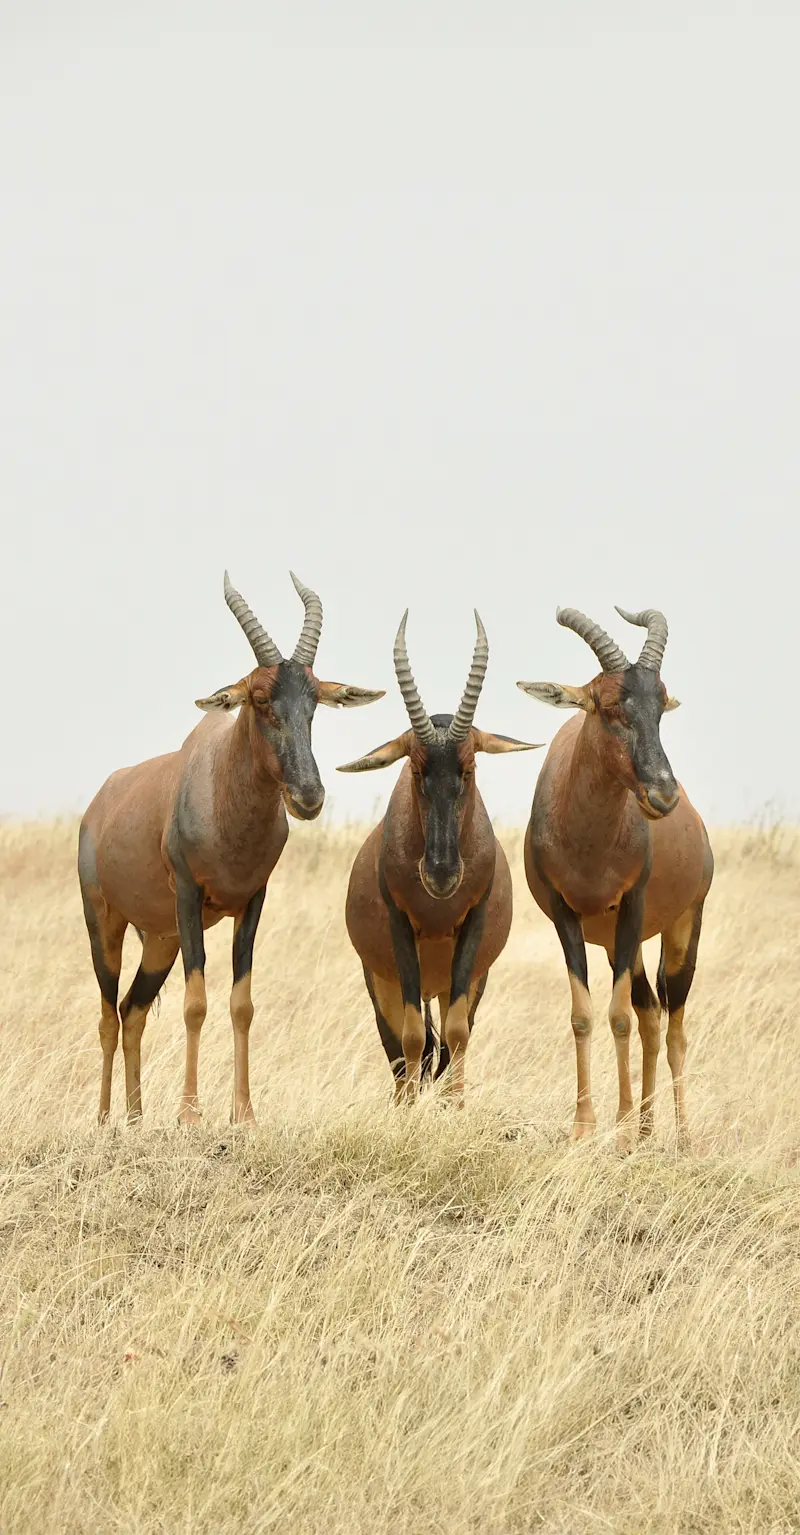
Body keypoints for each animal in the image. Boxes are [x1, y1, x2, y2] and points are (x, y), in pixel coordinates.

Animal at [79, 572, 383, 1127]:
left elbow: (242, 1004)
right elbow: (195, 1002)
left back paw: (136, 1119)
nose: (308, 797)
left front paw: (243, 1114)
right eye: (259, 699)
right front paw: (190, 1115)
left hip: (161, 941)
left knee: (133, 1011)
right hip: (105, 923)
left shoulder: (252, 901)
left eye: (314, 702)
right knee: (108, 1014)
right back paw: (106, 1120)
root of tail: (98, 805)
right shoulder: (188, 898)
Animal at [339, 611, 541, 1103]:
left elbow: (457, 1034)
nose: (442, 874)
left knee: (447, 1041)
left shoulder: (473, 929)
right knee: (399, 1047)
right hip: (382, 981)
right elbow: (413, 1038)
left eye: (469, 767)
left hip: (461, 981)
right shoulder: (399, 929)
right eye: (415, 768)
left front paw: (456, 1108)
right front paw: (413, 1112)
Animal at [518, 606, 713, 1152]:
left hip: (681, 927)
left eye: (661, 705)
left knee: (674, 1025)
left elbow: (618, 1016)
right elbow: (585, 1016)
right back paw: (646, 1130)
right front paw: (586, 1127)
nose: (663, 795)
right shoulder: (564, 916)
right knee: (651, 1014)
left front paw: (619, 1131)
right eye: (607, 708)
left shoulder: (633, 907)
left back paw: (680, 1138)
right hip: (616, 942)